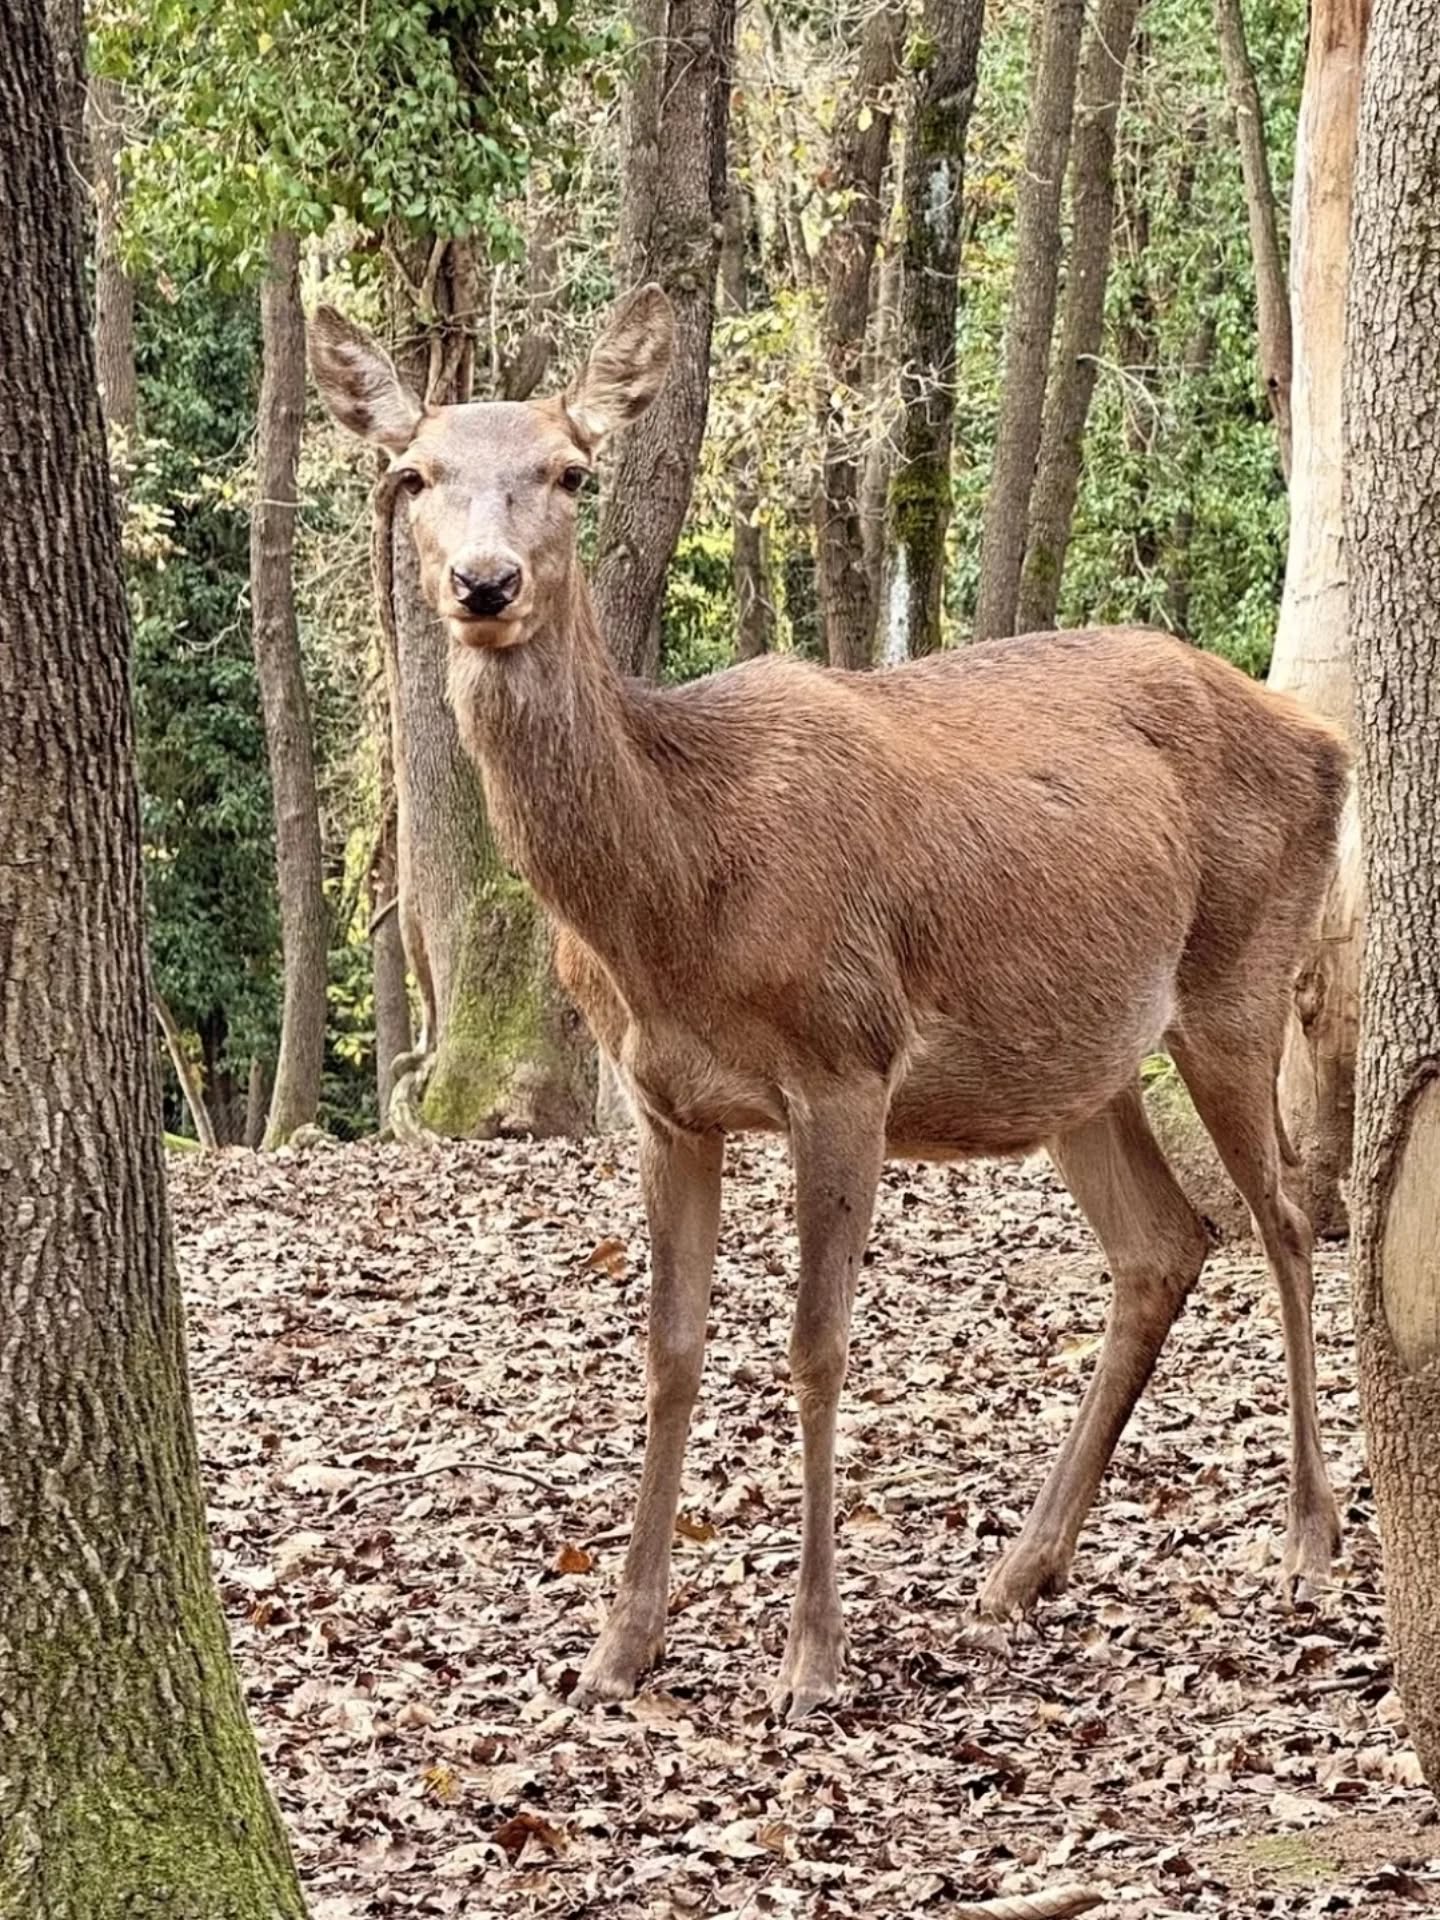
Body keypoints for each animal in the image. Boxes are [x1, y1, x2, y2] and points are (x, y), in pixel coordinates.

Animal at [310, 286, 1349, 1721]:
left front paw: (811, 1657)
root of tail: (1328, 740)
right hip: (1075, 1060)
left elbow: (816, 1344)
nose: (484, 584)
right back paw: (1022, 1569)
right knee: (1164, 1245)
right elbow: (669, 1348)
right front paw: (618, 1646)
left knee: (1288, 1221)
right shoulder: (662, 1100)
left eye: (571, 471)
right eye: (412, 474)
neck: (679, 900)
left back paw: (1309, 1537)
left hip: (1238, 976)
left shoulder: (847, 1058)